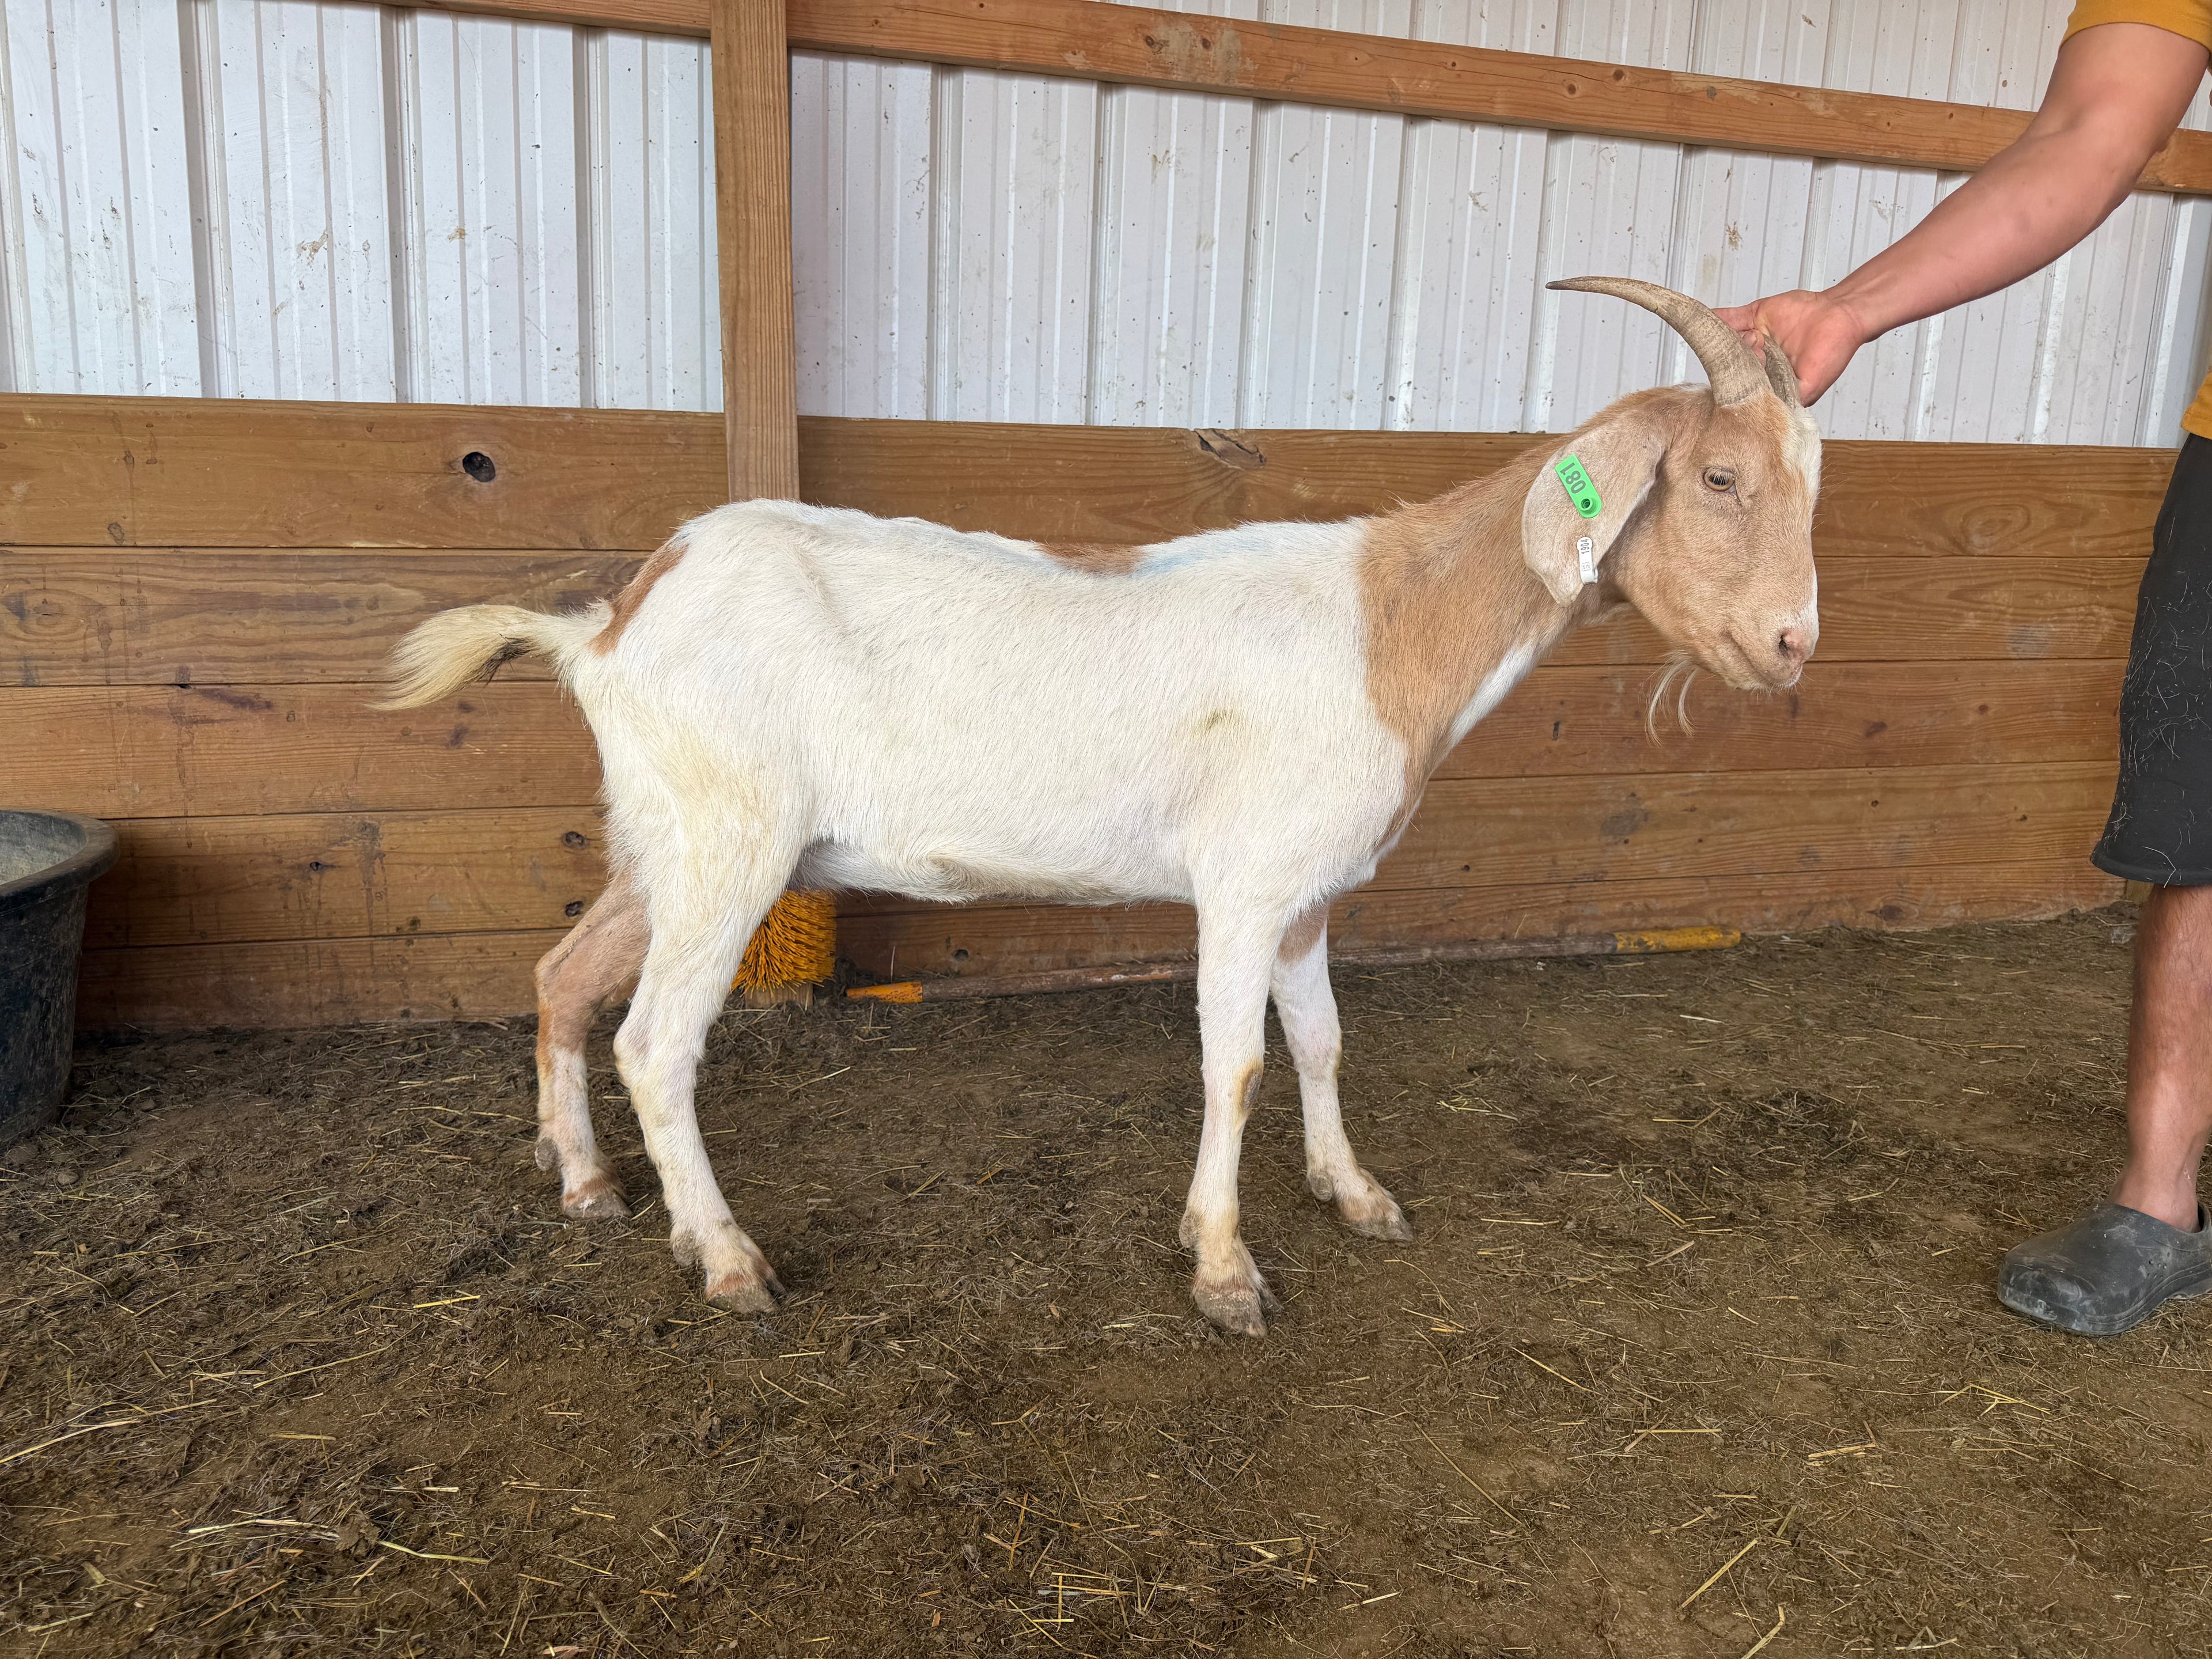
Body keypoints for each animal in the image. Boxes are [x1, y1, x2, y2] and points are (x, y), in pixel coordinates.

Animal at [378, 278, 1820, 1336]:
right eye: (1719, 479)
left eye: (1813, 479)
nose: (1794, 645)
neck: (1387, 626)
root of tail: (611, 625)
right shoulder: (1242, 885)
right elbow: (1236, 1065)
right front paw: (1225, 1270)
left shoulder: (1306, 896)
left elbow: (1321, 1044)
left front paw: (1355, 1195)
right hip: (730, 836)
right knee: (655, 1041)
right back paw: (729, 1260)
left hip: (660, 837)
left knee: (565, 976)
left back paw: (587, 1182)